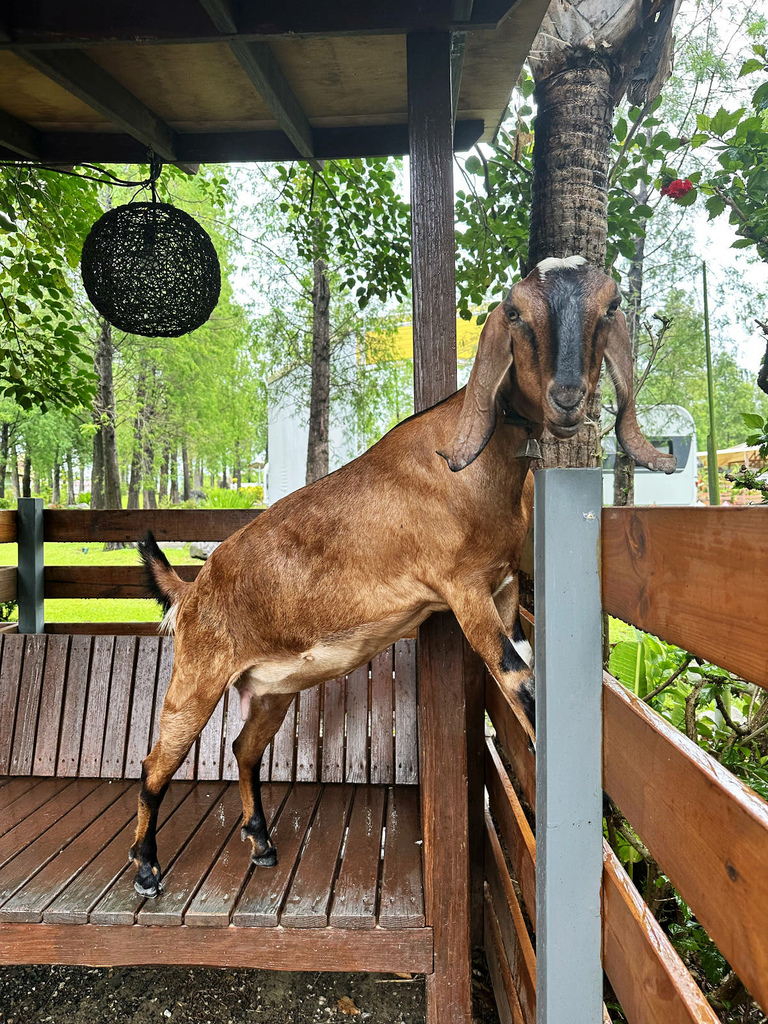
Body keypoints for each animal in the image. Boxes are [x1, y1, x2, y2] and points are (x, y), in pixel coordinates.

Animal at [131, 258, 671, 897]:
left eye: (609, 305)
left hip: (269, 689)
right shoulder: (462, 590)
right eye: (515, 312)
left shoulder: (504, 587)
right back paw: (146, 868)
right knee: (154, 763)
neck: (472, 474)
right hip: (198, 676)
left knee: (243, 749)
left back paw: (260, 842)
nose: (567, 398)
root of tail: (191, 590)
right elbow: (519, 679)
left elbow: (524, 666)